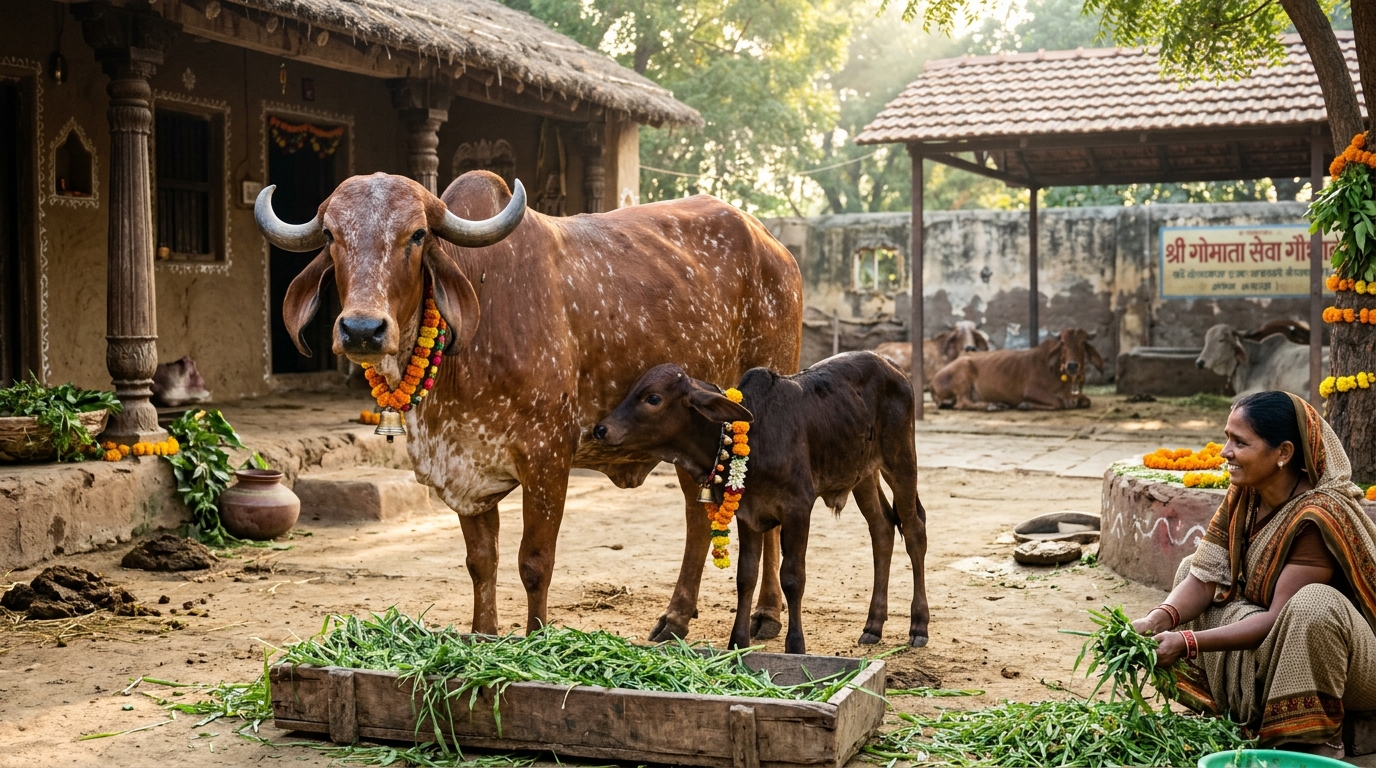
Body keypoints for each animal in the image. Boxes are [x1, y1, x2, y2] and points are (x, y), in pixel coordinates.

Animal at [255, 171, 803, 642]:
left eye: (416, 235)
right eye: (330, 235)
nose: (362, 329)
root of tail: (774, 246)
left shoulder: (547, 456)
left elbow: (534, 562)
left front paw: (536, 642)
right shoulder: (467, 468)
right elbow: (482, 561)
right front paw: (482, 637)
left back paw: (765, 614)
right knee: (698, 515)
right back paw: (677, 618)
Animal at [591, 352, 928, 654]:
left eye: (653, 398)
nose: (601, 429)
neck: (753, 434)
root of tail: (891, 364)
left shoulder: (798, 510)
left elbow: (792, 577)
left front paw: (796, 646)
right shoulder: (748, 514)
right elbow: (746, 576)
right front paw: (737, 643)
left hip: (901, 460)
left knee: (914, 531)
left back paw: (919, 626)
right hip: (863, 475)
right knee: (882, 529)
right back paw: (873, 625)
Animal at [932, 328, 1103, 410]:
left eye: (1083, 342)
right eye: (1063, 343)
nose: (1072, 365)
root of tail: (934, 380)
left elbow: (1086, 401)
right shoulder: (1031, 390)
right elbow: (1059, 402)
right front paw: (1025, 405)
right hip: (963, 373)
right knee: (963, 403)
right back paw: (992, 406)